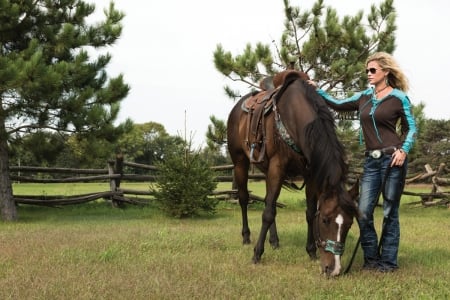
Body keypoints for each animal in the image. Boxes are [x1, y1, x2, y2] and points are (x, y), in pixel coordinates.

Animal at [227, 70, 360, 276]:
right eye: (325, 220)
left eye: (349, 224)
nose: (334, 269)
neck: (294, 115)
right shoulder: (277, 167)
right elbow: (268, 213)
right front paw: (257, 254)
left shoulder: (309, 174)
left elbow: (308, 212)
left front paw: (311, 251)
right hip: (240, 161)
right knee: (243, 199)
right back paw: (247, 237)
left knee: (268, 200)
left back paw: (274, 241)